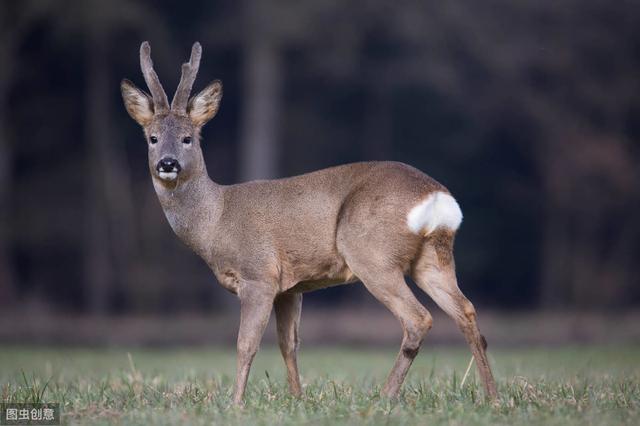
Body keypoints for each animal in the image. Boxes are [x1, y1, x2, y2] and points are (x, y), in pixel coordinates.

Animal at [121, 41, 500, 404]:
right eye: (153, 138)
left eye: (188, 138)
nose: (168, 163)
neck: (215, 221)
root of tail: (437, 197)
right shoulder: (290, 287)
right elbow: (289, 344)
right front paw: (297, 398)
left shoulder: (258, 275)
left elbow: (246, 344)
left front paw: (235, 403)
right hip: (432, 257)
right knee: (467, 313)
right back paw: (492, 398)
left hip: (372, 255)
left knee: (418, 319)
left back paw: (385, 397)